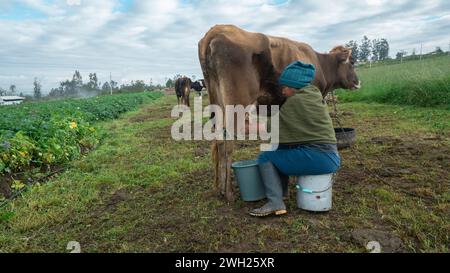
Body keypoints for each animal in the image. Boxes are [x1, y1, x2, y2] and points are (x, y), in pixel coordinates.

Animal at [199, 24, 360, 201]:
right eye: (352, 62)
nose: (358, 81)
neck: (320, 64)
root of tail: (217, 29)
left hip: (217, 100)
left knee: (219, 141)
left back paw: (219, 189)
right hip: (237, 103)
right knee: (228, 142)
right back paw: (228, 192)